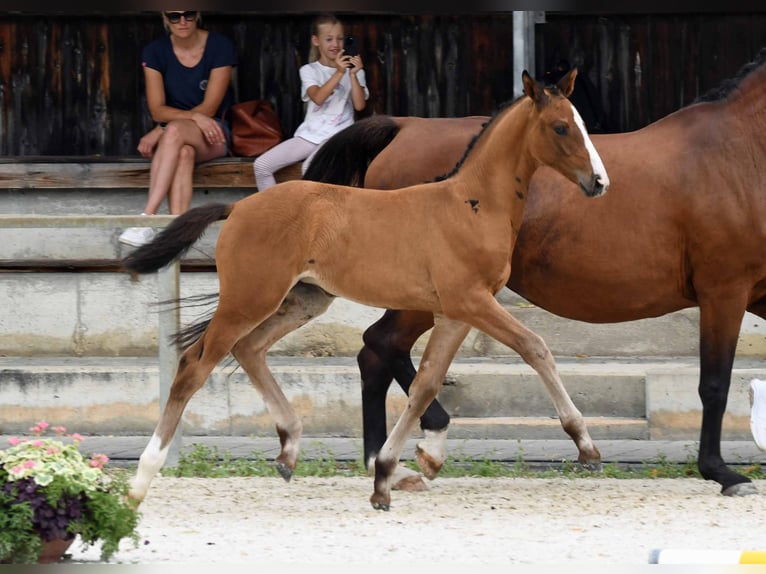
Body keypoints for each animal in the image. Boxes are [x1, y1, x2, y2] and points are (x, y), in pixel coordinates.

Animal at [123, 70, 608, 510]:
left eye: (582, 123)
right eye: (560, 127)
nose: (600, 182)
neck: (472, 206)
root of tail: (238, 206)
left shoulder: (453, 313)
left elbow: (425, 385)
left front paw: (390, 474)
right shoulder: (472, 301)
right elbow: (534, 346)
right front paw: (585, 445)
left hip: (302, 299)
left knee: (249, 350)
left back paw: (288, 450)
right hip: (249, 299)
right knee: (194, 365)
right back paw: (141, 481)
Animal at [304, 48, 766, 500]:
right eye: (562, 128)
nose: (598, 181)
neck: (738, 154)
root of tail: (403, 127)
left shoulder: (756, 293)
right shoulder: (724, 290)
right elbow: (715, 384)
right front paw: (722, 472)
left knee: (380, 350)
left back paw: (393, 460)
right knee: (381, 346)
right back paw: (407, 454)